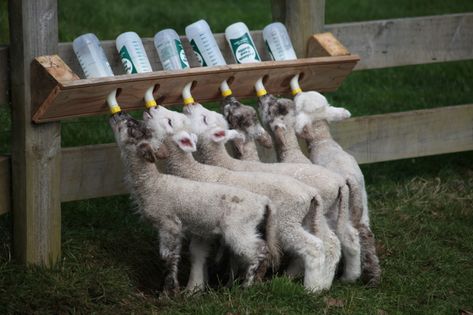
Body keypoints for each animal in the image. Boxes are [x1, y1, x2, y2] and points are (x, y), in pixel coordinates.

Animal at [110, 112, 276, 296]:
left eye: (130, 127)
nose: (120, 113)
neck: (153, 183)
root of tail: (263, 201)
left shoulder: (168, 224)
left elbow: (168, 258)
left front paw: (167, 293)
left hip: (238, 229)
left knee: (258, 251)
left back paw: (247, 285)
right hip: (247, 228)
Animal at [144, 106, 336, 294]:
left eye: (205, 119)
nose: (190, 105)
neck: (198, 170)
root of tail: (310, 192)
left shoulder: (206, 220)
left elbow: (200, 253)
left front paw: (197, 288)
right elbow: (206, 254)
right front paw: (210, 282)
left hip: (287, 221)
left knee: (315, 247)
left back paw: (310, 287)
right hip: (312, 216)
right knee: (330, 243)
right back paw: (321, 282)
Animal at [216, 97, 360, 282]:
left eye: (273, 110)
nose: (263, 98)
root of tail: (340, 182)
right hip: (332, 212)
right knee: (348, 236)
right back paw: (349, 276)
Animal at [294, 90, 382, 286]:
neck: (323, 141)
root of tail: (350, 178)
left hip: (337, 210)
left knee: (350, 238)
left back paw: (350, 276)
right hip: (361, 205)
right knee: (365, 234)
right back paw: (372, 274)